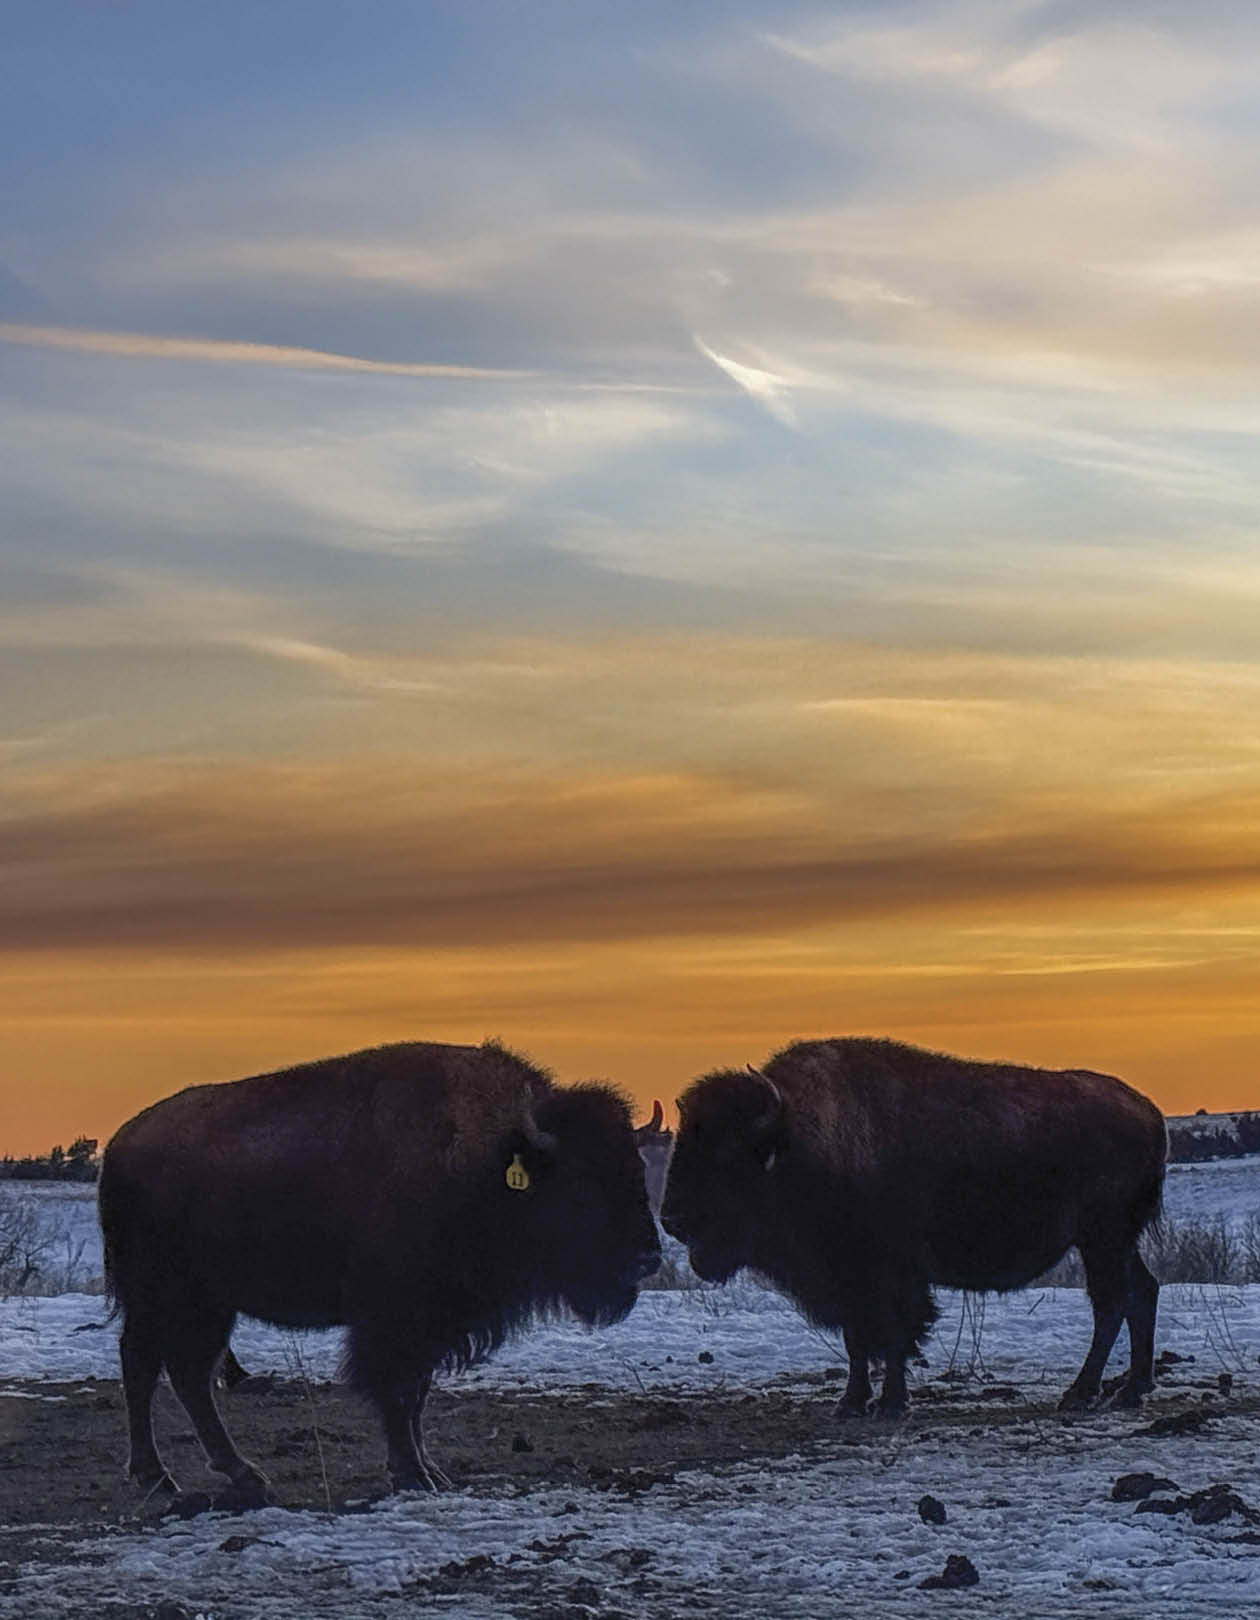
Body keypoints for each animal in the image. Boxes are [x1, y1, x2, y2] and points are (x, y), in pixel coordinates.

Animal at [99, 1040, 661, 1500]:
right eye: (582, 1182)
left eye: (635, 1167)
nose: (648, 1259)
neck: (485, 1159)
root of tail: (121, 1143)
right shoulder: (396, 1319)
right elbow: (397, 1392)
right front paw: (411, 1473)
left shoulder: (434, 1322)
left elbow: (417, 1395)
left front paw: (431, 1471)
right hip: (161, 1295)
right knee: (145, 1366)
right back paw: (159, 1477)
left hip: (209, 1302)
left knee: (187, 1373)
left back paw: (239, 1473)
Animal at [661, 1038, 1166, 1416]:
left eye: (728, 1158)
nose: (672, 1220)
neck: (800, 1141)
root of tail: (1149, 1113)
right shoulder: (849, 1278)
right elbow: (858, 1340)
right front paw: (850, 1404)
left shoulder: (889, 1273)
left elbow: (892, 1334)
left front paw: (890, 1404)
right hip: (1115, 1241)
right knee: (1142, 1291)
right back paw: (1130, 1390)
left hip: (1103, 1239)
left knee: (1111, 1303)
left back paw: (1080, 1394)